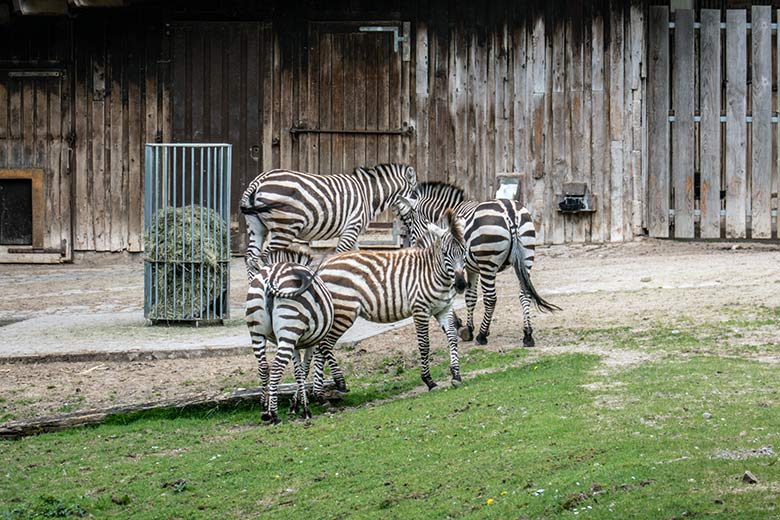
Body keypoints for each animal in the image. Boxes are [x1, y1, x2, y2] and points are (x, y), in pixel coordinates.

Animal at [239, 164, 418, 278]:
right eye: (415, 195)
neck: (367, 195)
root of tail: (259, 180)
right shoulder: (351, 228)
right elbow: (340, 255)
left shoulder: (352, 231)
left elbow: (357, 253)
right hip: (285, 229)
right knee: (263, 257)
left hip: (257, 229)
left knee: (250, 258)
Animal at [245, 248, 340, 422]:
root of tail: (273, 275)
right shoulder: (310, 342)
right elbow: (305, 369)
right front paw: (304, 408)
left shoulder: (295, 343)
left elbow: (298, 371)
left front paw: (296, 405)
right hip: (289, 328)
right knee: (277, 367)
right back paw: (274, 414)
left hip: (257, 332)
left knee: (263, 367)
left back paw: (264, 410)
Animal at [310, 209, 470, 396]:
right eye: (445, 253)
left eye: (464, 251)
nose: (461, 285)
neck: (431, 270)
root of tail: (323, 266)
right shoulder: (420, 310)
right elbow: (424, 345)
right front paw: (429, 381)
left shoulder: (444, 308)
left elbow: (452, 338)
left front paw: (456, 374)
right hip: (344, 311)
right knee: (325, 345)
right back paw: (339, 383)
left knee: (319, 347)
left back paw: (320, 394)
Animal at [402, 183, 560, 350]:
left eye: (410, 224)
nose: (414, 246)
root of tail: (510, 212)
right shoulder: (471, 268)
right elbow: (471, 297)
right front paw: (469, 327)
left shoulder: (458, 265)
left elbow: (462, 296)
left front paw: (463, 327)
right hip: (527, 256)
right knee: (525, 293)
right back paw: (527, 334)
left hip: (488, 263)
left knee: (491, 298)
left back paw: (482, 336)